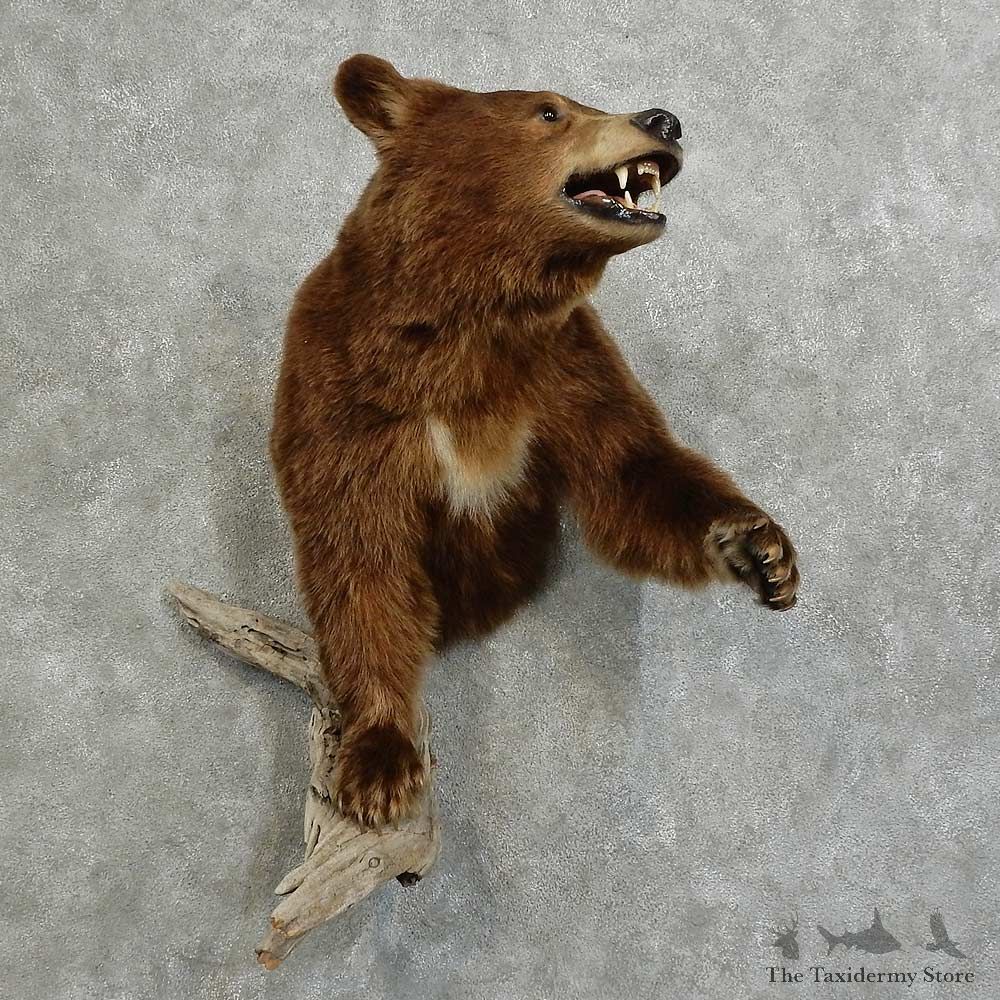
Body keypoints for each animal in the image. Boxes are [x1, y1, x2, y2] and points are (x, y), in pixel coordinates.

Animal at [270, 55, 799, 828]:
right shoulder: (347, 397)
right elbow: (360, 554)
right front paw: (379, 764)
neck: (469, 326)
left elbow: (632, 470)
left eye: (573, 101)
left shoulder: (563, 370)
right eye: (550, 111)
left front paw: (759, 549)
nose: (665, 120)